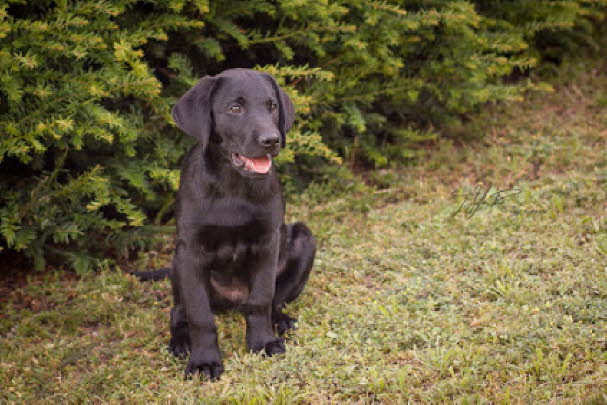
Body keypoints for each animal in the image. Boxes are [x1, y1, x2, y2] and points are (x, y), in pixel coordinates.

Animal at [135, 68, 316, 378]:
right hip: (177, 264)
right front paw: (204, 361)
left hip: (304, 238)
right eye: (235, 108)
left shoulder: (268, 241)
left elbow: (261, 300)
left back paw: (280, 322)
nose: (272, 139)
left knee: (274, 300)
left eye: (272, 106)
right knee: (179, 312)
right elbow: (200, 317)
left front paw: (262, 343)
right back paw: (180, 342)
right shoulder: (191, 251)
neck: (233, 185)